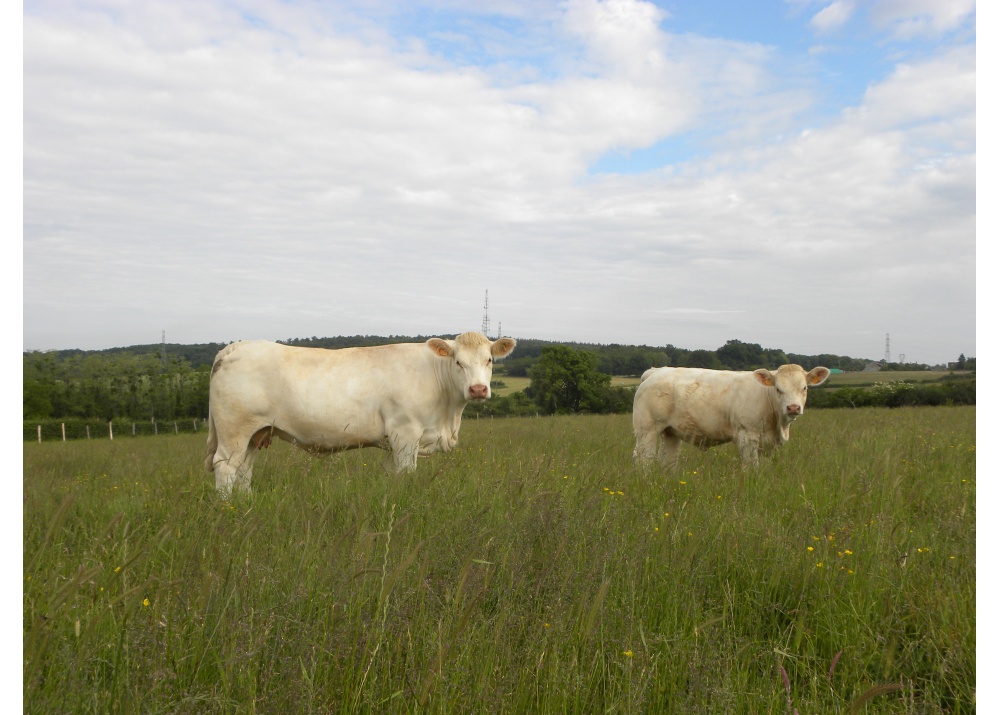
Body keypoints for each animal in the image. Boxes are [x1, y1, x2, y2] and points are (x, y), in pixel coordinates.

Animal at [203, 332, 516, 492]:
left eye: (489, 360)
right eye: (458, 362)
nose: (478, 389)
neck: (448, 416)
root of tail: (235, 347)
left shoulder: (392, 442)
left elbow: (392, 476)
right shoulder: (406, 434)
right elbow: (407, 475)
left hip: (256, 434)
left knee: (244, 470)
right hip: (235, 430)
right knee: (226, 467)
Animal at [636, 364, 832, 470]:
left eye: (804, 388)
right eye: (778, 389)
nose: (793, 408)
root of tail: (655, 371)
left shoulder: (769, 443)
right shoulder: (747, 435)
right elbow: (752, 467)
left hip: (671, 432)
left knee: (668, 462)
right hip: (646, 430)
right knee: (643, 459)